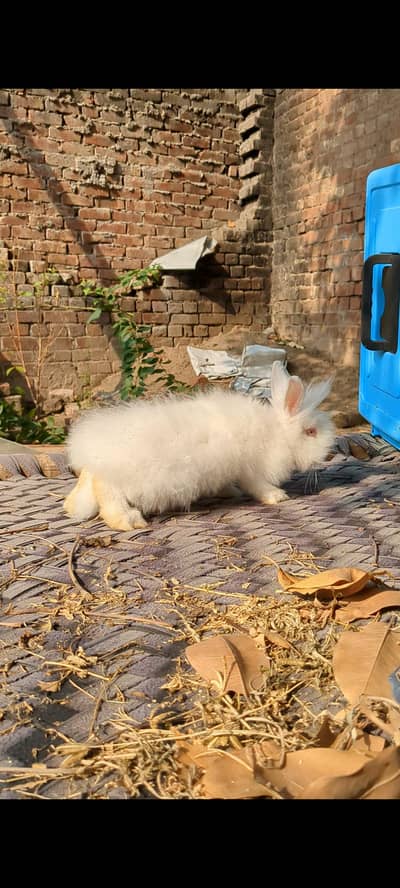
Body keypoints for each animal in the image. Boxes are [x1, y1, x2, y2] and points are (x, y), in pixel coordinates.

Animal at [64, 361, 335, 531]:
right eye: (311, 432)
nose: (331, 455)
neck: (277, 432)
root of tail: (90, 455)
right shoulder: (250, 469)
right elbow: (257, 486)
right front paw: (278, 497)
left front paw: (229, 492)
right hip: (120, 481)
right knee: (107, 494)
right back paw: (130, 521)